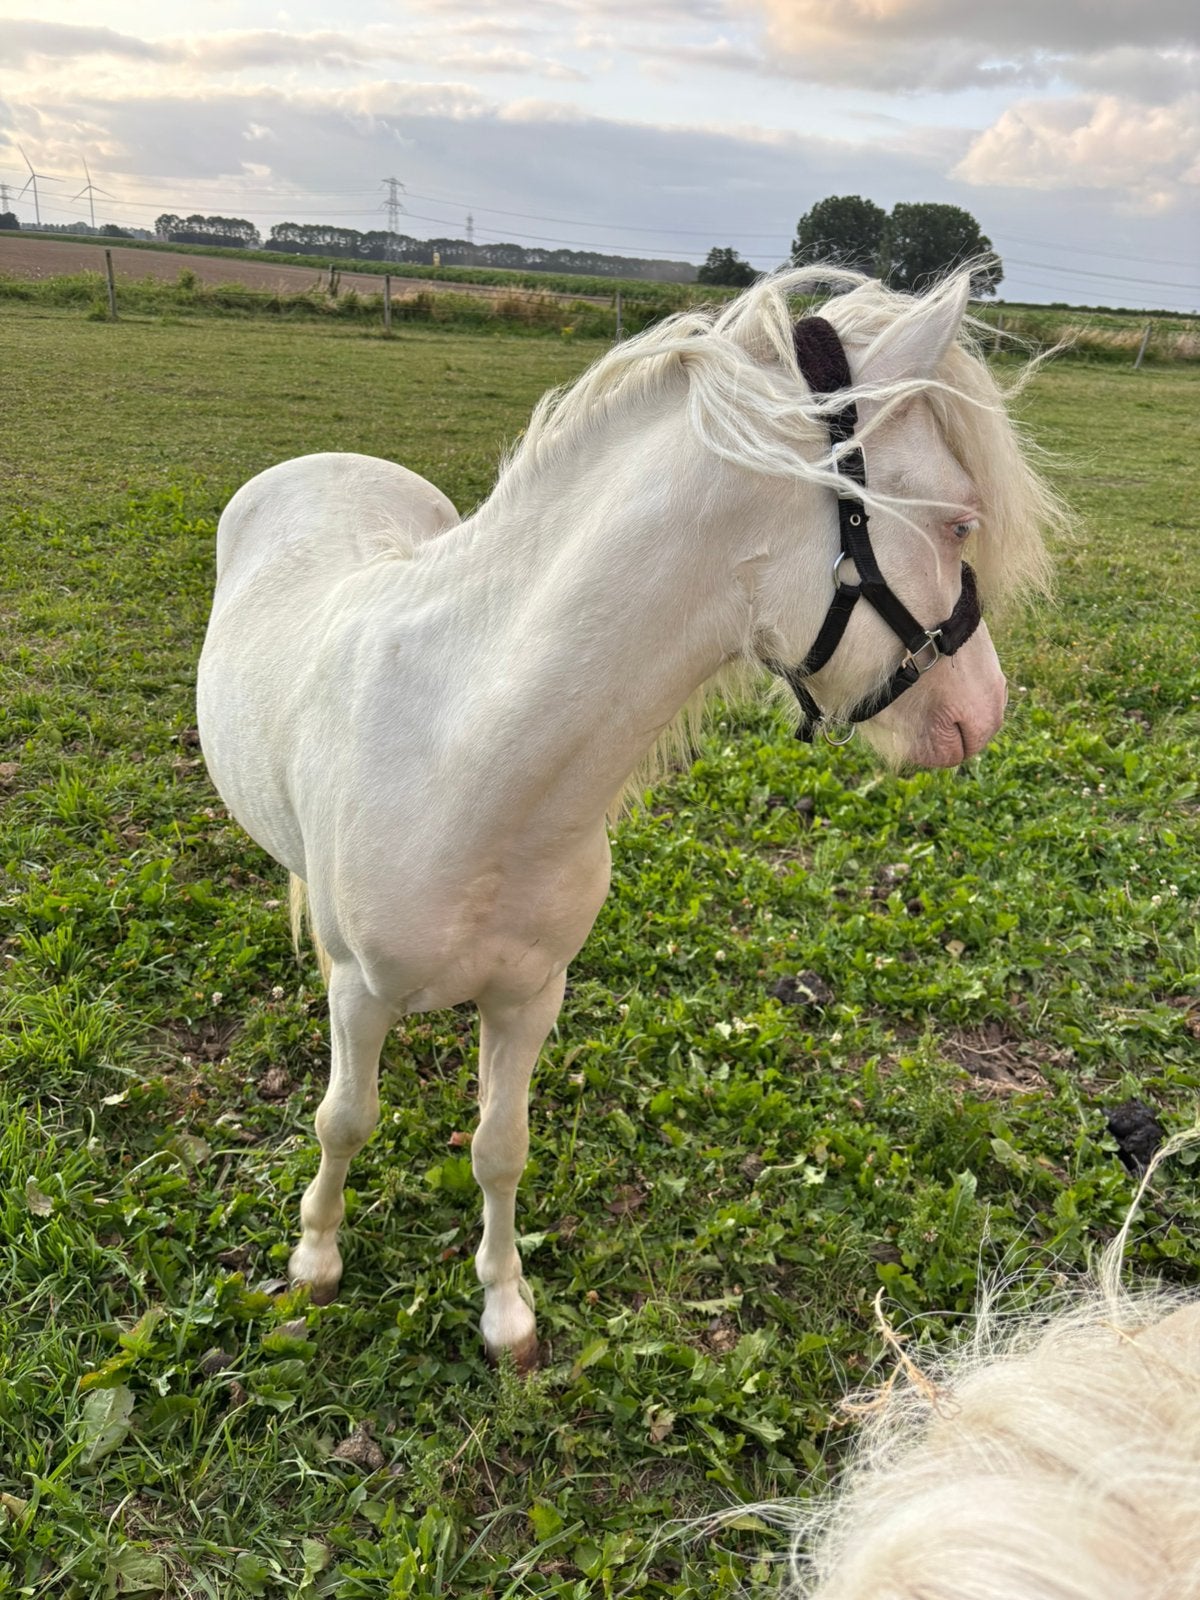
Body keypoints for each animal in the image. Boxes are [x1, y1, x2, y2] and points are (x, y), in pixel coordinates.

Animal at [196, 264, 1062, 1368]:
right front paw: (314, 1261)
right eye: (955, 521)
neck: (467, 754)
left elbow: (500, 1147)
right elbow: (342, 1120)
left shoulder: (532, 994)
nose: (982, 715)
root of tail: (326, 461)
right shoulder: (359, 993)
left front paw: (506, 1312)